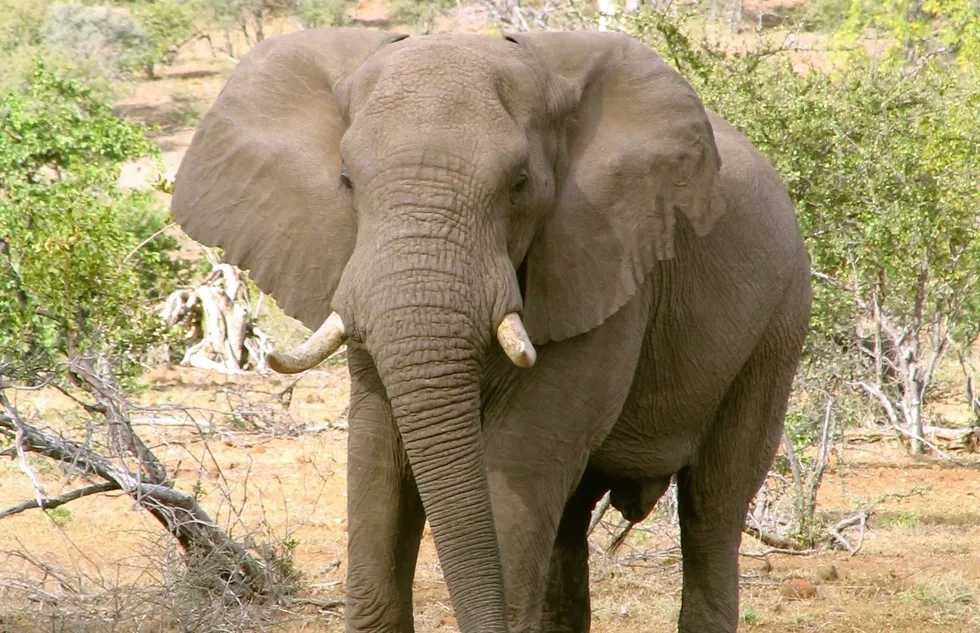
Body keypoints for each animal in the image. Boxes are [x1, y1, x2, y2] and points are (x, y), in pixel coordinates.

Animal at [170, 27, 812, 633]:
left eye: (520, 183)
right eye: (347, 180)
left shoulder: (607, 256)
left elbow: (527, 449)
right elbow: (379, 450)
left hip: (778, 324)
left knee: (714, 503)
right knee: (573, 515)